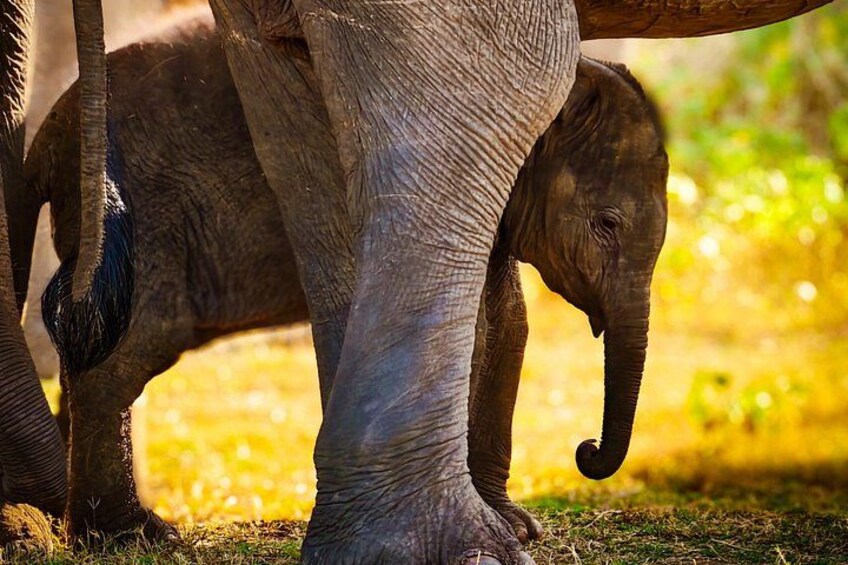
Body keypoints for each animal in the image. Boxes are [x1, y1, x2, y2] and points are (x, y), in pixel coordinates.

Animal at [44, 0, 829, 562]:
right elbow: (491, 323)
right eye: (605, 224)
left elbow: (508, 322)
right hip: (149, 214)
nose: (585, 452)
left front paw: (516, 526)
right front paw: (510, 533)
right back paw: (131, 535)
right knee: (130, 345)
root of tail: (42, 138)